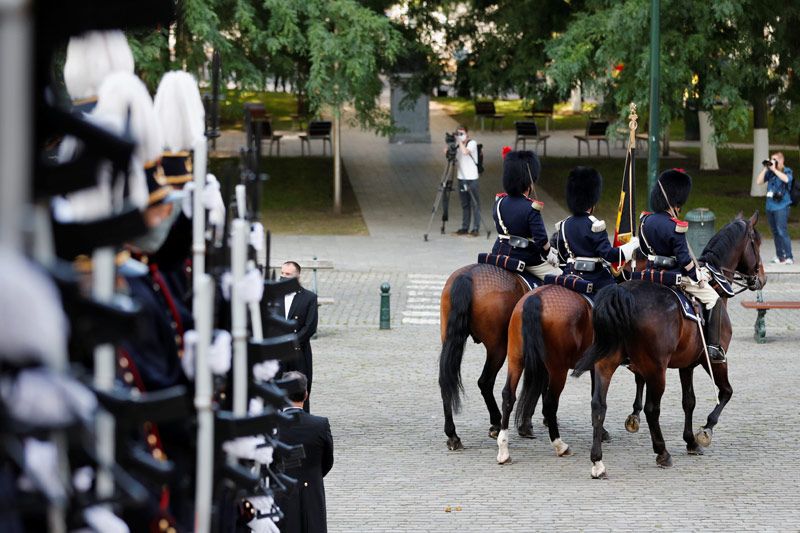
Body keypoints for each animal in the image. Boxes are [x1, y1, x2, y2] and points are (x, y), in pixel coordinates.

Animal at [438, 262, 532, 448]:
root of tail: (468, 275)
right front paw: (527, 425)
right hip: (498, 348)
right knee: (485, 382)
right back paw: (496, 423)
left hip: (448, 339)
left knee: (446, 379)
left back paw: (452, 434)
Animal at [572, 212, 764, 478]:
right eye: (756, 243)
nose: (761, 279)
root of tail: (622, 293)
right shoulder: (713, 360)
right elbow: (725, 392)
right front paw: (704, 431)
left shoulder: (687, 364)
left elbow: (689, 401)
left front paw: (690, 441)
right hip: (656, 370)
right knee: (652, 410)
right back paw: (662, 453)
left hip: (606, 363)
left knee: (598, 405)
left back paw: (597, 461)